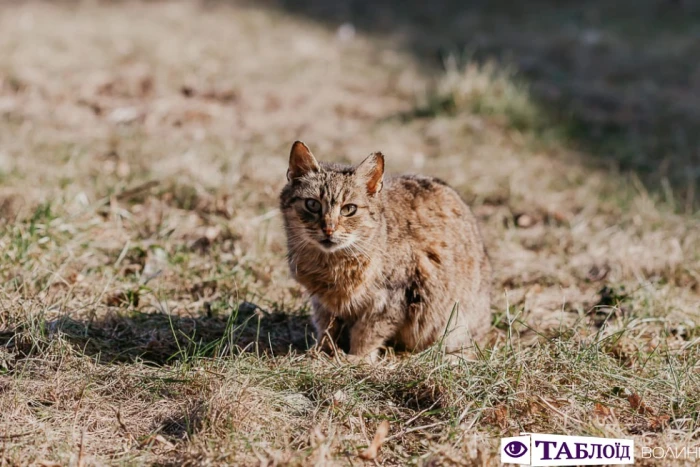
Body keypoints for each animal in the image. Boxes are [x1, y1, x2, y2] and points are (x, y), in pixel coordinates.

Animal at [278, 142, 492, 362]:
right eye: (312, 204)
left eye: (349, 209)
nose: (329, 229)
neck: (331, 264)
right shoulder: (322, 302)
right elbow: (327, 328)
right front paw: (321, 352)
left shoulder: (392, 298)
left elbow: (368, 332)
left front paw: (357, 358)